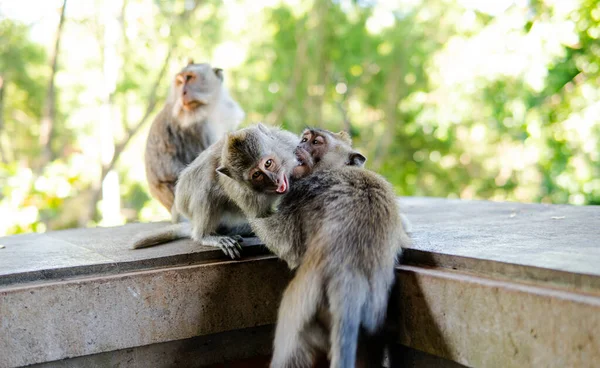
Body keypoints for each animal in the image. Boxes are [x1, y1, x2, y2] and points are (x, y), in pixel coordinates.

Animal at [131, 124, 300, 258]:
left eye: (268, 163)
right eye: (256, 175)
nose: (274, 180)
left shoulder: (289, 143)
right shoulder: (242, 193)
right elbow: (262, 219)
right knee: (207, 187)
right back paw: (205, 236)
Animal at [216, 129, 408, 368]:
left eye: (315, 142)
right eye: (305, 138)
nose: (299, 144)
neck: (338, 168)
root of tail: (348, 275)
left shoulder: (301, 192)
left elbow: (285, 244)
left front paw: (242, 198)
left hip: (298, 312)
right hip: (371, 323)